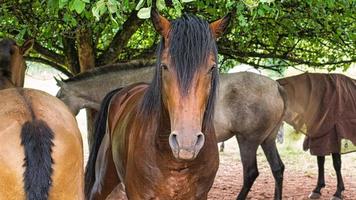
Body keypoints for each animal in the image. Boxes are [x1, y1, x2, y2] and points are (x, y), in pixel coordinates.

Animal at [58, 59, 286, 197]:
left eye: (60, 95)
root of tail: (277, 87)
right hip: (267, 140)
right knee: (277, 169)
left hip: (247, 140)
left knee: (250, 173)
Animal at [278, 72, 356, 200]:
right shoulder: (319, 139)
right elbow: (320, 162)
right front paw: (317, 189)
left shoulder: (334, 139)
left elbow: (337, 164)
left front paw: (338, 192)